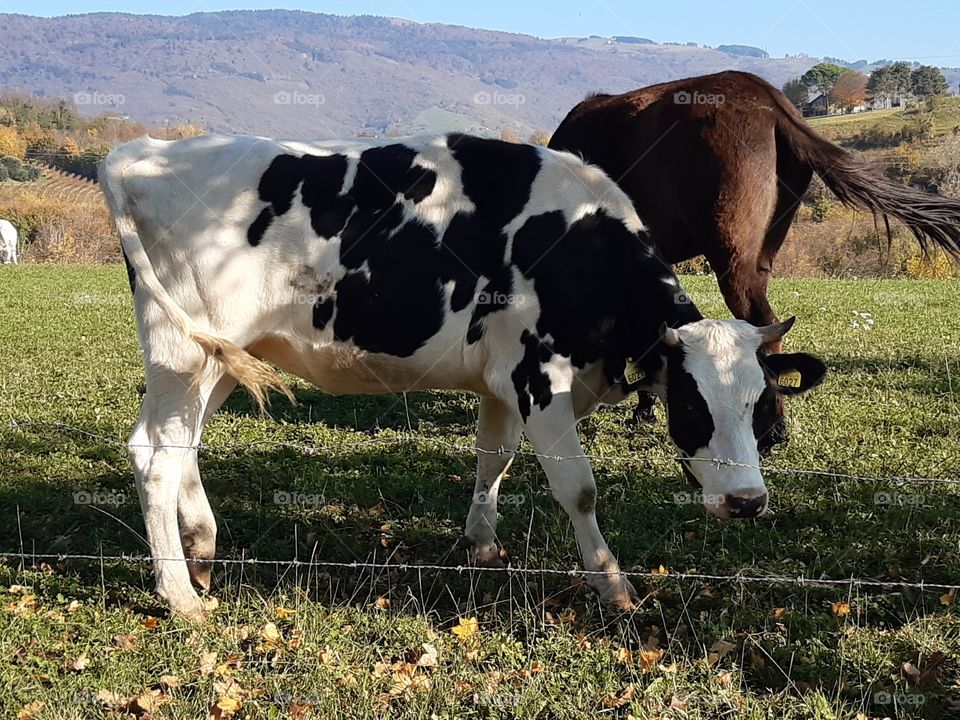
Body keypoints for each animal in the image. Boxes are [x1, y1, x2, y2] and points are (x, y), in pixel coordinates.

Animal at [101, 133, 826, 620]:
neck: (582, 247)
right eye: (692, 406)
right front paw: (613, 584)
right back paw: (180, 596)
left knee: (174, 443)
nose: (747, 502)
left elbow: (493, 459)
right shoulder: (541, 377)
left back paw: (202, 548)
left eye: (765, 412)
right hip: (183, 349)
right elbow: (579, 488)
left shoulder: (502, 383)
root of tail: (144, 151)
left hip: (223, 355)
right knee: (156, 458)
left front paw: (481, 545)